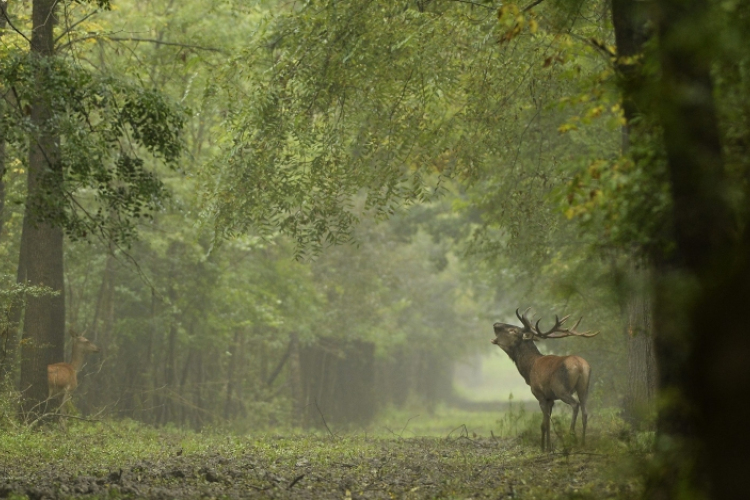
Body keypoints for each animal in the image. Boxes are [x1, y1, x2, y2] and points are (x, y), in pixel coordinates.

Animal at [494, 308, 600, 454]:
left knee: (575, 405)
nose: (495, 324)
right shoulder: (550, 399)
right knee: (585, 412)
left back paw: (571, 436)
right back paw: (583, 443)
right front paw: (549, 447)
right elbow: (549, 422)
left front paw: (543, 448)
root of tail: (580, 366)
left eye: (513, 331)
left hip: (561, 388)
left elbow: (543, 424)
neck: (529, 369)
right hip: (584, 387)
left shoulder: (540, 395)